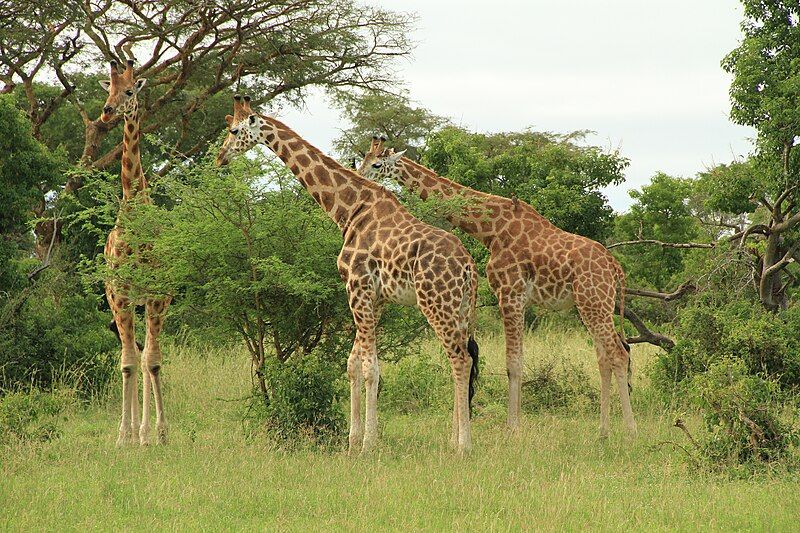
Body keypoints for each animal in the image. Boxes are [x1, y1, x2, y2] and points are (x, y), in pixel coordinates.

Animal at [219, 95, 478, 454]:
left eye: (234, 130)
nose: (220, 158)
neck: (348, 209)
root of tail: (468, 266)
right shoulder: (374, 297)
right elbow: (353, 364)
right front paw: (353, 440)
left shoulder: (358, 287)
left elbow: (371, 368)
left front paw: (369, 442)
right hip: (462, 308)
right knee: (462, 358)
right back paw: (453, 437)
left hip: (435, 302)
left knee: (460, 360)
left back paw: (463, 446)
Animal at [360, 136, 636, 436]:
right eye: (362, 159)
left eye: (376, 164)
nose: (361, 178)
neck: (491, 230)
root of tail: (615, 267)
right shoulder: (516, 298)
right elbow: (514, 361)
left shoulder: (510, 294)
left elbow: (513, 364)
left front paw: (512, 429)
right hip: (591, 305)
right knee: (604, 358)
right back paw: (603, 432)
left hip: (594, 303)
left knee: (619, 354)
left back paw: (630, 431)